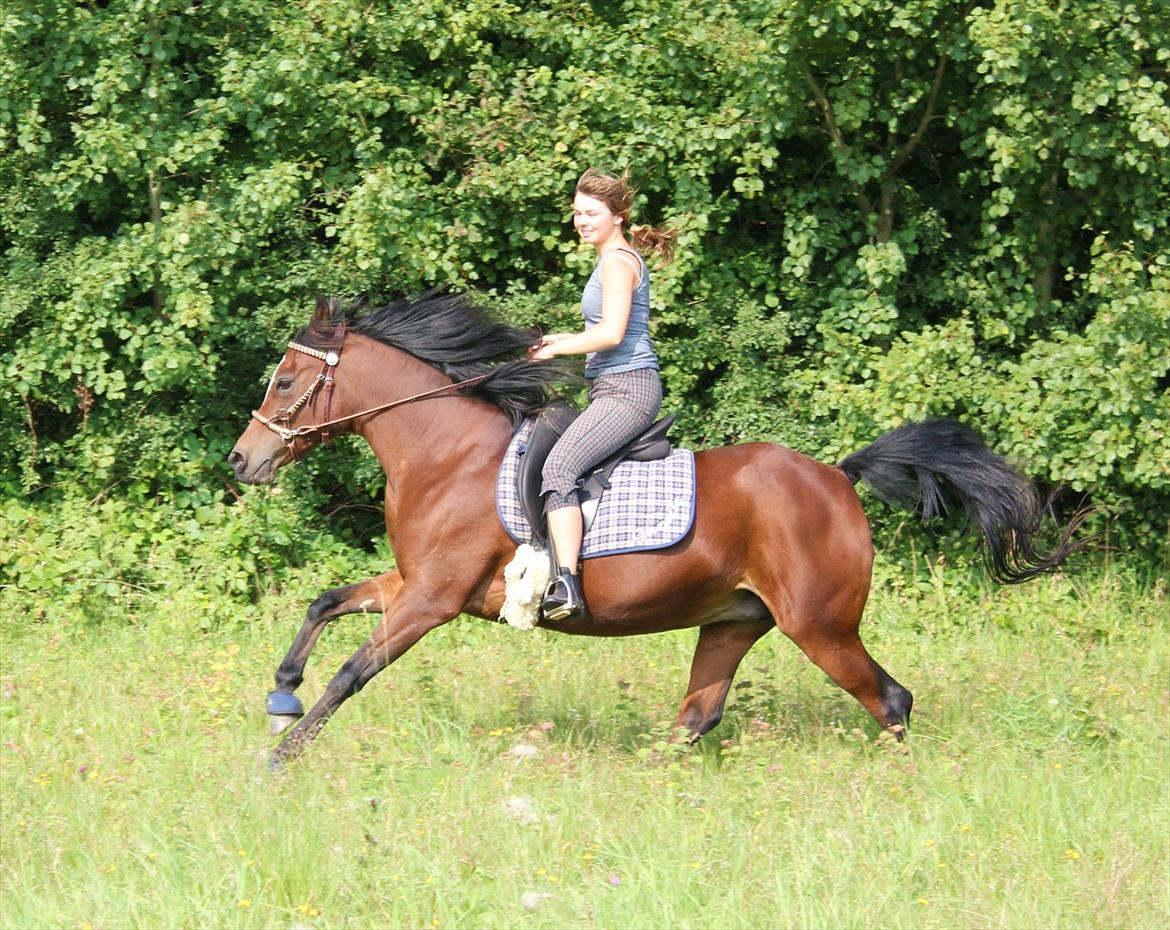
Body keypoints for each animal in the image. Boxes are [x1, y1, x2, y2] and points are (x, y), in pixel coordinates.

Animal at [228, 295, 1085, 762]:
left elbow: (352, 673)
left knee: (891, 699)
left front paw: (280, 758)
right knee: (696, 718)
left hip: (821, 626)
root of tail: (838, 477)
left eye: (286, 380)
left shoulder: (431, 599)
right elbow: (324, 604)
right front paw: (281, 696)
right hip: (735, 620)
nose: (242, 461)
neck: (447, 453)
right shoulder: (412, 583)